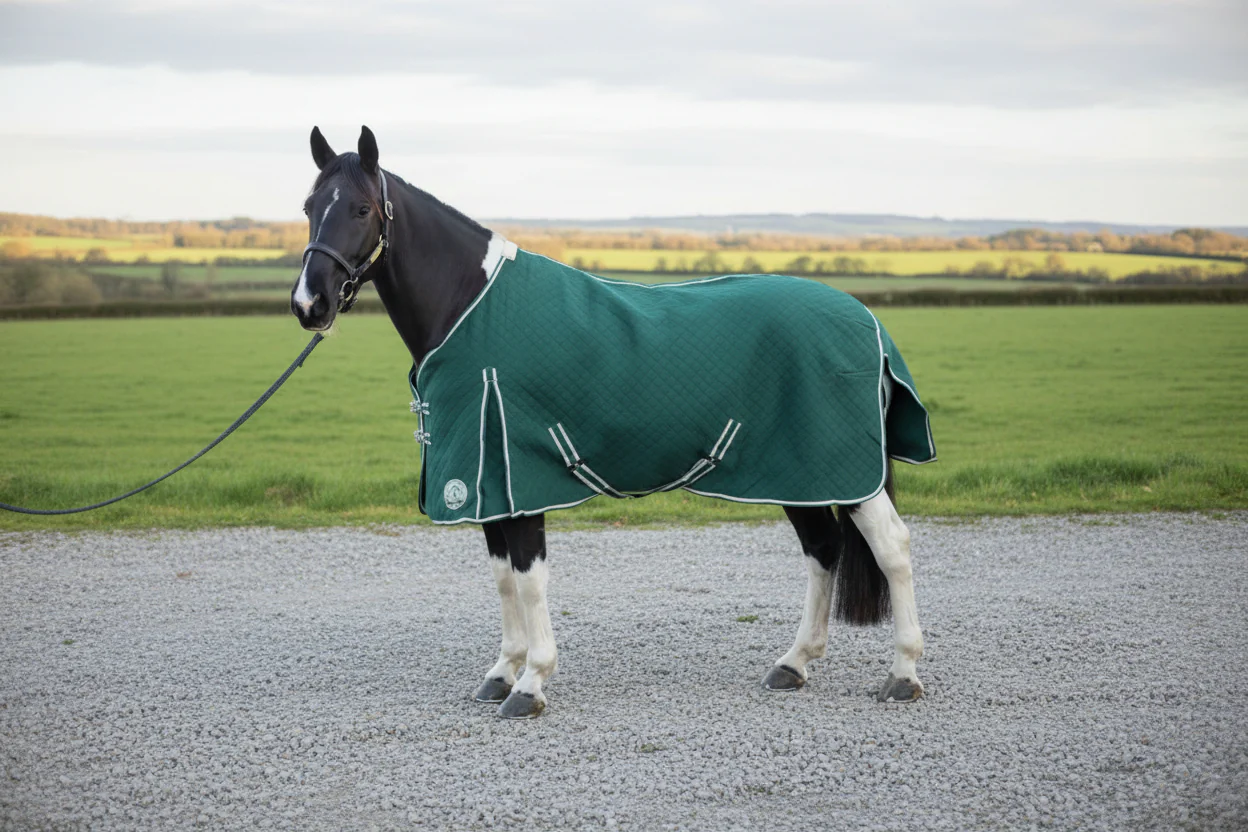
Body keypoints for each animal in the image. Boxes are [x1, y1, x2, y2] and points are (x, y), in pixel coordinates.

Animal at [291, 125, 933, 720]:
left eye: (362, 208)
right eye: (307, 206)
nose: (308, 304)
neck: (469, 308)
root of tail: (866, 319)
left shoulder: (519, 478)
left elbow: (529, 578)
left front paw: (531, 684)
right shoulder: (485, 483)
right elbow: (502, 578)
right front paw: (502, 672)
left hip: (843, 469)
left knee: (891, 547)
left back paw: (903, 673)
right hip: (799, 473)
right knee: (823, 549)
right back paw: (793, 664)